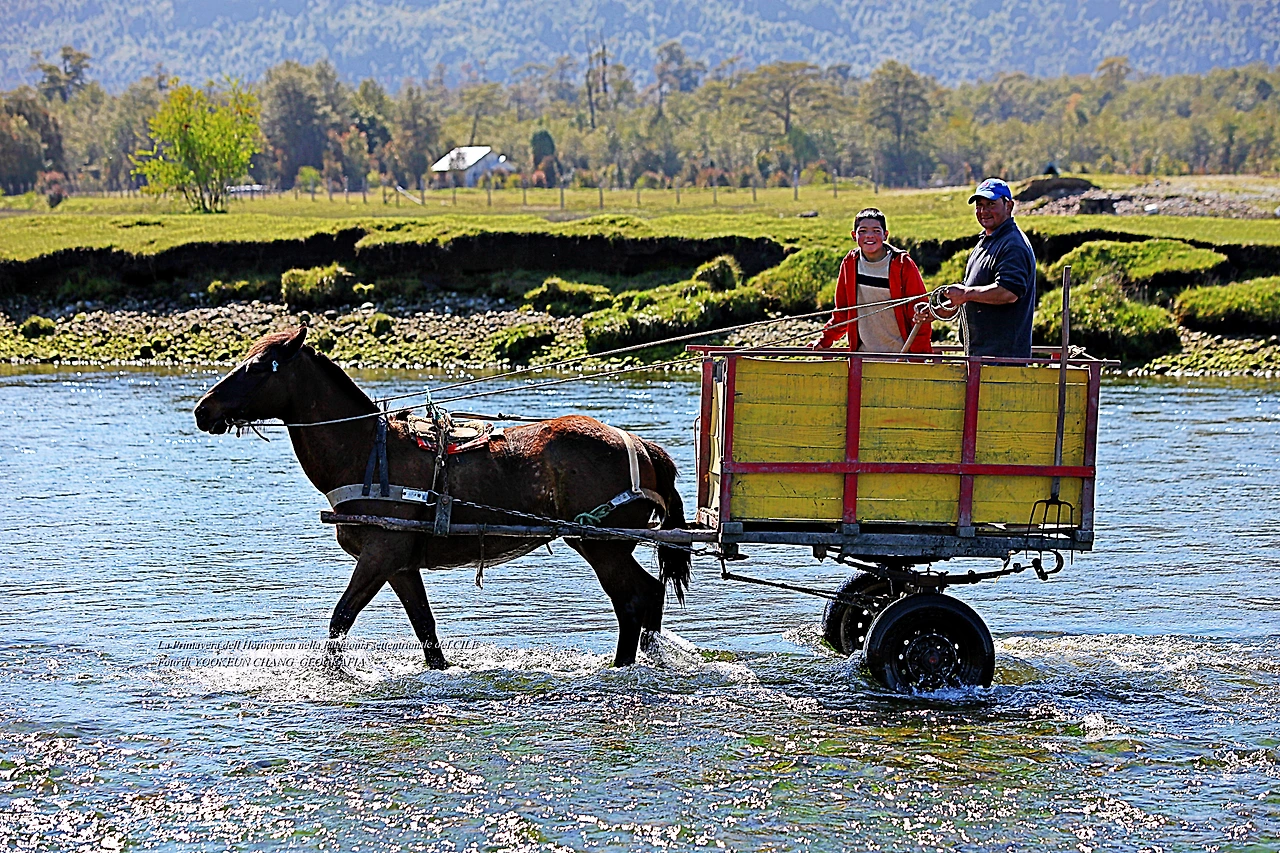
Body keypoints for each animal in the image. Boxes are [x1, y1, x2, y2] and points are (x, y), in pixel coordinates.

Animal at [193, 326, 691, 669]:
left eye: (258, 367)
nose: (203, 409)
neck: (367, 452)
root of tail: (639, 445)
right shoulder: (399, 563)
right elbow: (425, 628)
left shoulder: (379, 553)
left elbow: (341, 618)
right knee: (646, 598)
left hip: (601, 543)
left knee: (636, 599)